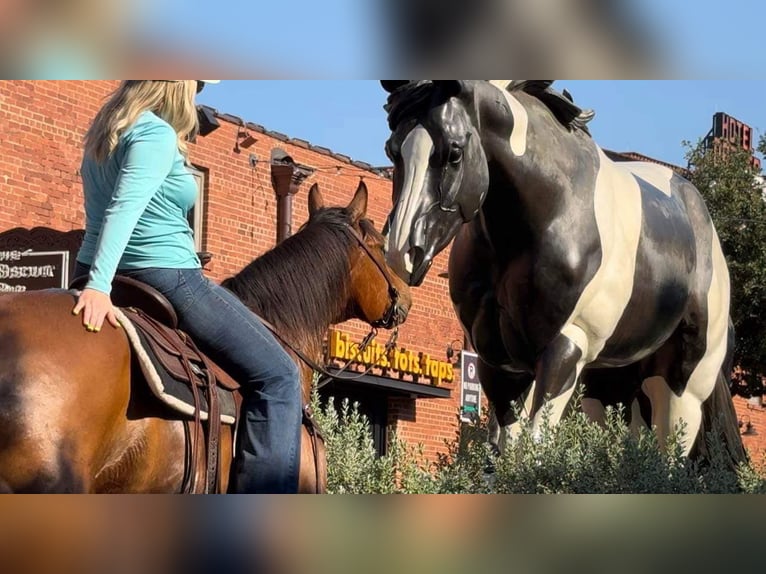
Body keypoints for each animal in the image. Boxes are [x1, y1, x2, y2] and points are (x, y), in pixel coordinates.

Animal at [380, 80, 748, 464]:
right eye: (392, 151)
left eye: (454, 152)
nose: (402, 251)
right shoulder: (497, 360)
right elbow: (503, 450)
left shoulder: (565, 347)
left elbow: (536, 445)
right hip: (611, 386)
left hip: (680, 386)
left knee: (670, 457)